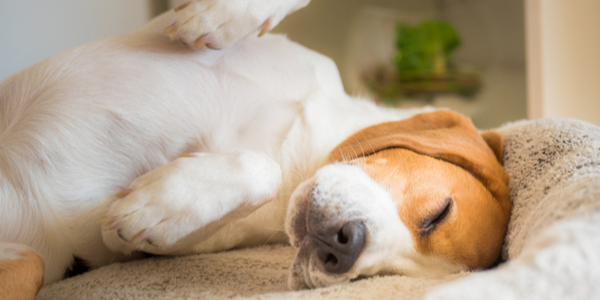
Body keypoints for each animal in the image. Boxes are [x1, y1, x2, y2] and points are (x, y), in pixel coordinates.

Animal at [0, 0, 510, 298]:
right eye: (438, 213)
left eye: (376, 277)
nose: (344, 248)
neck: (303, 147)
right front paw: (221, 13)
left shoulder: (132, 250)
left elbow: (260, 169)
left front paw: (155, 207)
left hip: (30, 263)